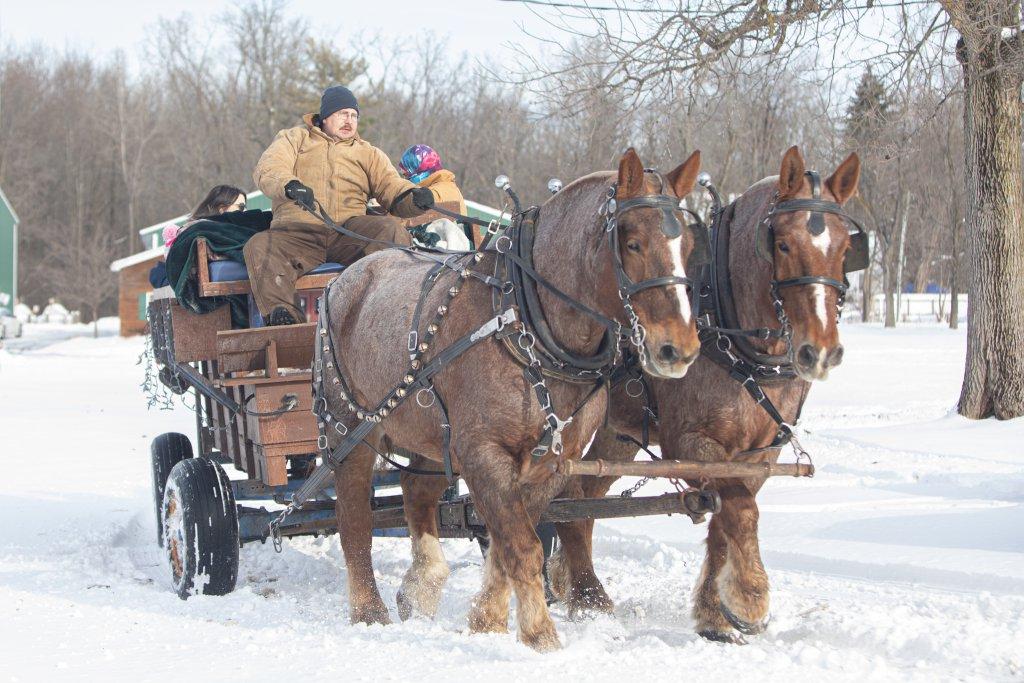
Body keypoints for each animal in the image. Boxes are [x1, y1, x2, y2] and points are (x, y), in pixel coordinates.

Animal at [319, 148, 704, 651]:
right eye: (633, 242)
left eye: (689, 246)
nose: (679, 348)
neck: (525, 321)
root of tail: (343, 280)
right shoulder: (483, 452)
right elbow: (522, 547)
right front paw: (540, 635)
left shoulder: (550, 461)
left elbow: (506, 544)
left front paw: (487, 620)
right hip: (350, 430)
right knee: (354, 521)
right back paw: (369, 611)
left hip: (431, 433)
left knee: (416, 491)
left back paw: (420, 587)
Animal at [544, 147, 864, 643]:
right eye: (782, 244)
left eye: (845, 249)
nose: (821, 351)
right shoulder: (690, 442)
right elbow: (739, 509)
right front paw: (750, 597)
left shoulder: (758, 454)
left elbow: (725, 519)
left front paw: (716, 613)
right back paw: (586, 595)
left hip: (617, 432)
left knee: (581, 494)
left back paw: (577, 588)